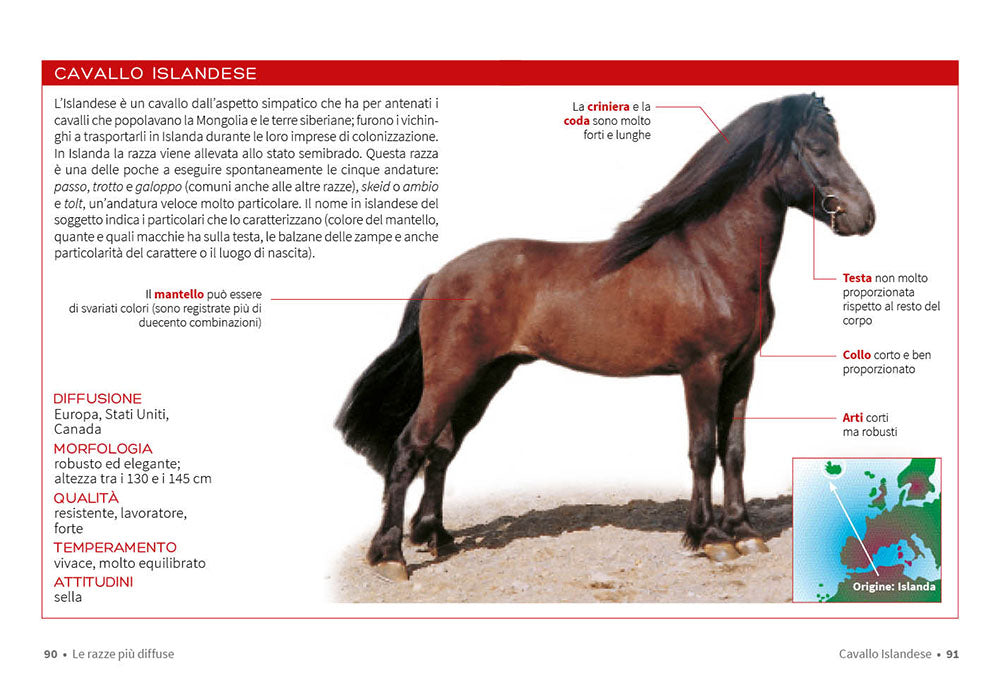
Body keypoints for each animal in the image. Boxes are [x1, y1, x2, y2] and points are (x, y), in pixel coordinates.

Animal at [337, 93, 875, 581]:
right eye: (818, 147)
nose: (864, 216)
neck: (711, 261)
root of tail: (441, 275)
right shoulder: (701, 370)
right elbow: (702, 450)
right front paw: (710, 538)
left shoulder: (742, 369)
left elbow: (735, 450)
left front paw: (744, 532)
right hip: (452, 375)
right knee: (410, 447)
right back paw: (390, 555)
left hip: (486, 376)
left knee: (442, 449)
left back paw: (435, 535)